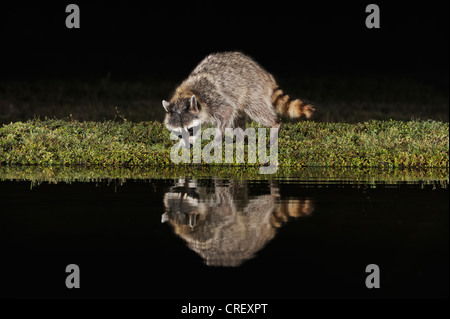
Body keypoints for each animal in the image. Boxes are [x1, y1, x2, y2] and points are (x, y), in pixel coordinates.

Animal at [163, 51, 314, 145]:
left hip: (253, 89)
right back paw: (241, 138)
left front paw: (217, 139)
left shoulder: (213, 99)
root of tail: (265, 74)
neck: (186, 94)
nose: (189, 146)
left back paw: (275, 124)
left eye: (190, 129)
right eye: (178, 133)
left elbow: (227, 111)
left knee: (255, 108)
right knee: (238, 117)